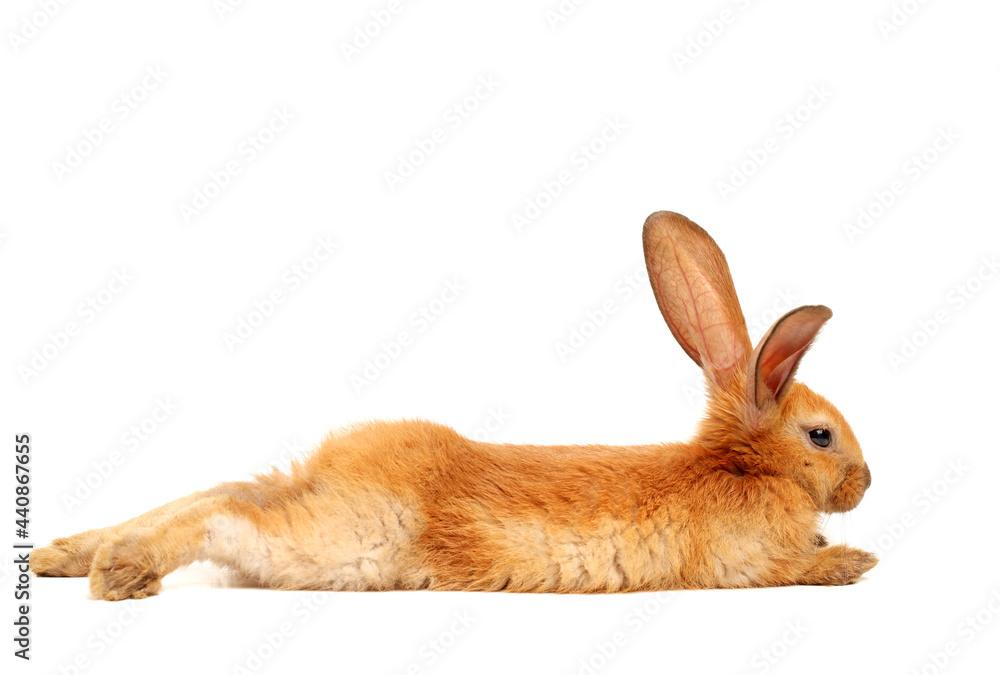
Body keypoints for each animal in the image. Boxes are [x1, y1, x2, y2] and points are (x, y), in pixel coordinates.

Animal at [30, 211, 876, 600]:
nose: (866, 484)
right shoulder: (746, 560)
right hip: (344, 543)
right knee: (223, 514)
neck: (743, 464)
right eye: (821, 435)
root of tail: (331, 471)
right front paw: (854, 562)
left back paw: (59, 556)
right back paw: (119, 571)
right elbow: (790, 567)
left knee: (223, 490)